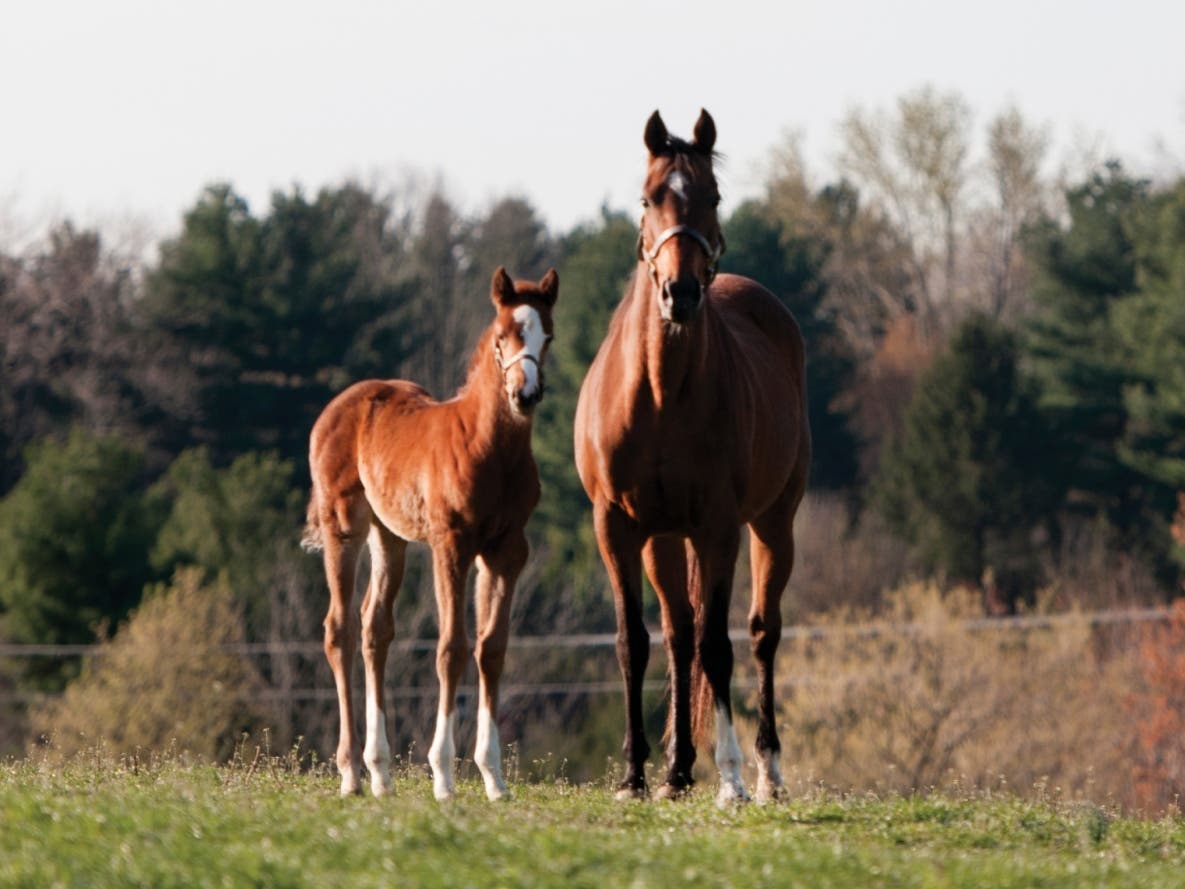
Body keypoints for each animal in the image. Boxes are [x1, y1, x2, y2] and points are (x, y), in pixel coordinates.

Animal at [303, 266, 558, 800]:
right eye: (503, 336)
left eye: (547, 337)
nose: (525, 395)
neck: (489, 448)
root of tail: (340, 404)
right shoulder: (451, 546)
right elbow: (451, 648)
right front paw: (443, 775)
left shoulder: (507, 551)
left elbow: (492, 648)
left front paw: (493, 777)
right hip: (344, 526)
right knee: (339, 628)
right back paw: (350, 773)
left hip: (390, 536)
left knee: (374, 628)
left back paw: (380, 773)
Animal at [574, 110, 810, 804]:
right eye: (649, 197)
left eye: (714, 196)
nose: (680, 292)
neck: (659, 394)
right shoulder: (617, 526)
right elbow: (635, 641)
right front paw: (634, 775)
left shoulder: (718, 527)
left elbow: (717, 645)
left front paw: (729, 779)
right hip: (662, 538)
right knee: (677, 635)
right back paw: (676, 770)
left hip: (771, 524)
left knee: (759, 632)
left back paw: (765, 772)